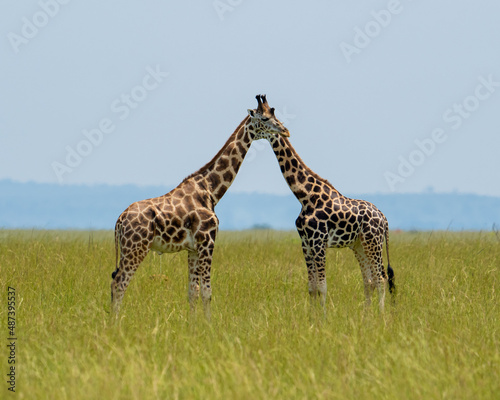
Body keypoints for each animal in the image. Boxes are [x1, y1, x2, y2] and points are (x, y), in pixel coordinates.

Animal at [109, 97, 290, 318]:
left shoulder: (193, 248)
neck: (210, 189)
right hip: (136, 247)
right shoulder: (207, 241)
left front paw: (193, 323)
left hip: (128, 249)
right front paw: (209, 323)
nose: (285, 131)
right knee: (119, 283)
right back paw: (115, 322)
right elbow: (207, 291)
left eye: (275, 115)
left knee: (115, 281)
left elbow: (192, 291)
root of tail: (119, 220)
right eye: (264, 118)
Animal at [250, 94, 394, 312]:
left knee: (380, 278)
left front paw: (324, 317)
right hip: (359, 244)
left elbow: (323, 286)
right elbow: (312, 287)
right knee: (368, 280)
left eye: (266, 118)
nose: (285, 130)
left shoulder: (319, 242)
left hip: (373, 242)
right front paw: (312, 316)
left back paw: (381, 315)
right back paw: (366, 315)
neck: (305, 196)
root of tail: (384, 218)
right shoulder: (306, 243)